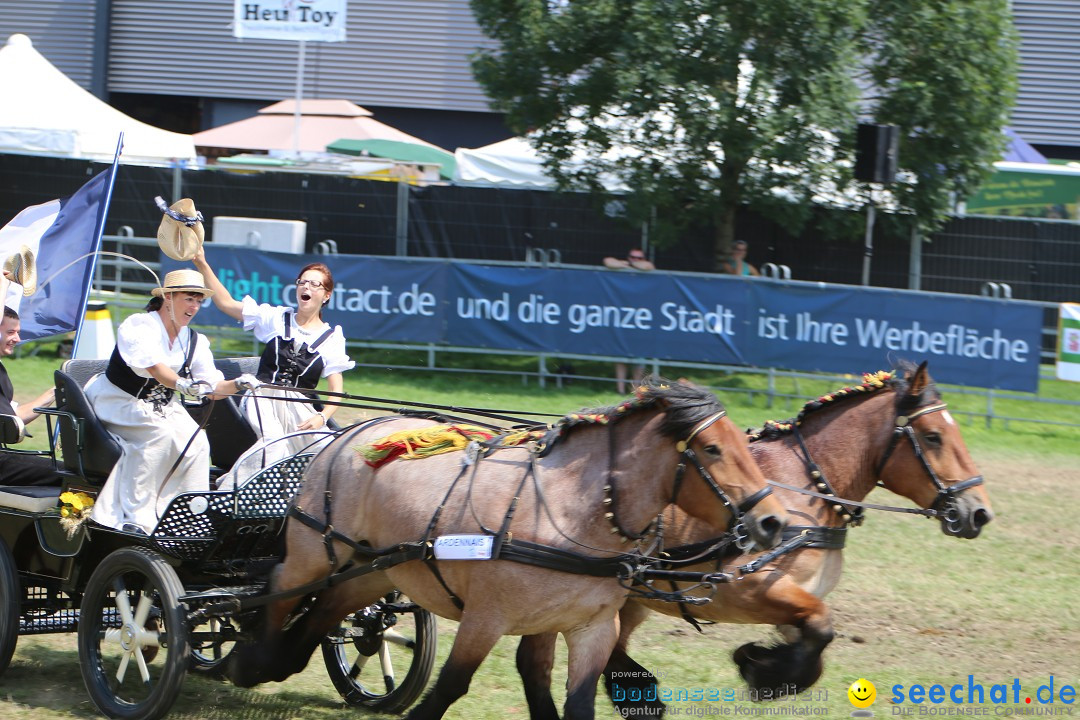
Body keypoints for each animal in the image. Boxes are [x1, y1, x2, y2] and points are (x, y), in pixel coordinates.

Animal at [223, 377, 790, 720]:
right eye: (712, 449)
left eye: (744, 443)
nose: (773, 521)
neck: (567, 511)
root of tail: (347, 434)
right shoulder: (484, 619)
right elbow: (449, 688)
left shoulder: (588, 628)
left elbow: (573, 700)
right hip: (314, 552)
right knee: (278, 589)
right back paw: (246, 659)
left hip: (373, 569)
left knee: (331, 611)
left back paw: (277, 662)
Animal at [514, 362, 993, 716]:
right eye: (933, 436)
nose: (979, 511)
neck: (806, 486)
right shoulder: (745, 589)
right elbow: (822, 628)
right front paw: (758, 669)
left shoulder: (795, 601)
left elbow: (815, 646)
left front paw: (767, 665)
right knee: (536, 663)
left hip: (625, 598)